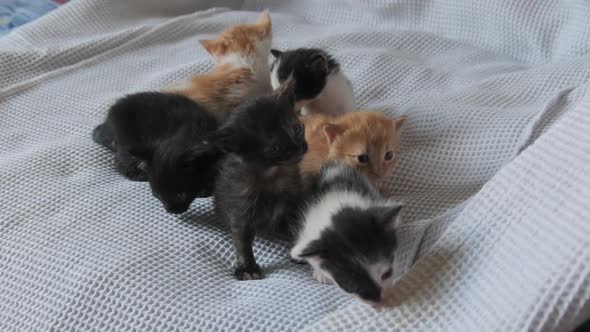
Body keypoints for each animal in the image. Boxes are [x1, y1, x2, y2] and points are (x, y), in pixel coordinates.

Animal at [93, 92, 223, 214]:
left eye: (181, 195)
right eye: (158, 195)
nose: (170, 210)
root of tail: (107, 122)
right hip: (125, 137)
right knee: (120, 160)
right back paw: (137, 174)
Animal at [292, 161, 402, 304]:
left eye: (387, 274)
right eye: (352, 287)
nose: (377, 300)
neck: (335, 209)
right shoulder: (308, 230)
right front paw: (320, 273)